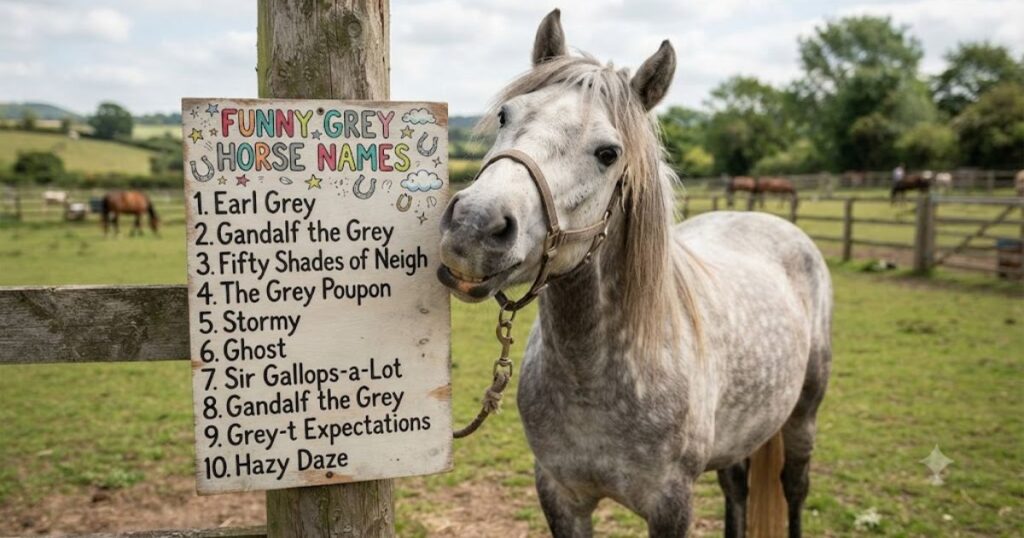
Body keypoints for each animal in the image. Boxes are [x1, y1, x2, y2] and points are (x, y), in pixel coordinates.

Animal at [437, 10, 832, 537]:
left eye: (608, 153)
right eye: (506, 115)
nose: (474, 226)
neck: (592, 378)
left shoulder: (671, 504)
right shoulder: (559, 494)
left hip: (803, 415)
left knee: (794, 488)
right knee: (736, 488)